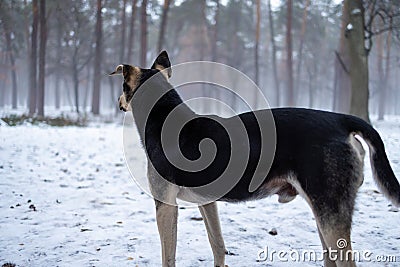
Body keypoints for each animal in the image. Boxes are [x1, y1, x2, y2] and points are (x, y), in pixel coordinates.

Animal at [110, 51, 400, 266]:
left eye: (122, 87)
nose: (117, 101)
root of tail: (341, 120)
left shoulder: (165, 204)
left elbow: (168, 256)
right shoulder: (207, 202)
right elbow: (218, 245)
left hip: (330, 211)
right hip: (323, 212)